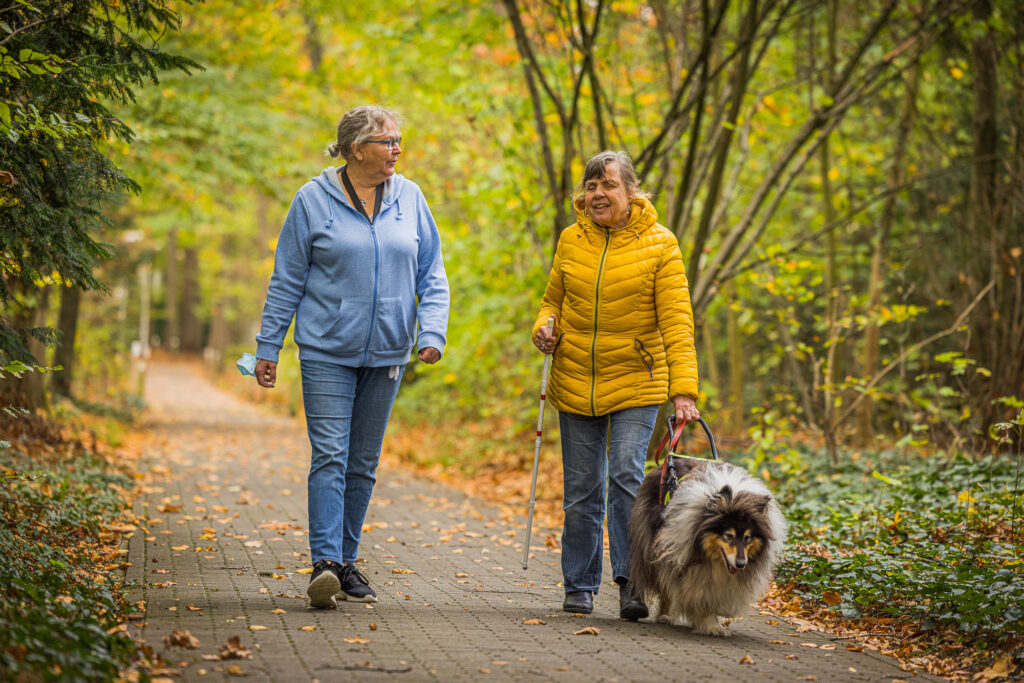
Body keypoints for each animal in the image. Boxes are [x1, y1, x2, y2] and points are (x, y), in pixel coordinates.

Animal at [622, 456, 782, 638]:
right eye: (729, 536)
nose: (741, 564)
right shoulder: (684, 558)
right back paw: (665, 615)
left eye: (748, 538)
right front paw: (712, 625)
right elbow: (698, 593)